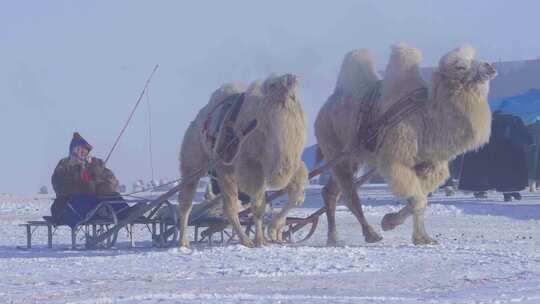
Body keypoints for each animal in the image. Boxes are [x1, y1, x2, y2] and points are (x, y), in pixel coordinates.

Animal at [178, 73, 308, 247]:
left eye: (294, 94)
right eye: (273, 84)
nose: (290, 78)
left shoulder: (291, 164)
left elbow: (297, 196)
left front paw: (274, 230)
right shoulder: (252, 164)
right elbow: (258, 205)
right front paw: (260, 239)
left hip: (225, 168)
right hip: (196, 161)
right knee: (190, 202)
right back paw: (185, 241)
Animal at [316, 44, 498, 245]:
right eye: (460, 67)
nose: (489, 66)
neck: (429, 119)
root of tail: (324, 108)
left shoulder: (428, 164)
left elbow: (418, 199)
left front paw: (390, 221)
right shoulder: (396, 160)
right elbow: (418, 200)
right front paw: (421, 238)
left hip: (351, 156)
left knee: (331, 191)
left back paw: (334, 237)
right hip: (334, 147)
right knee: (349, 194)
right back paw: (368, 234)